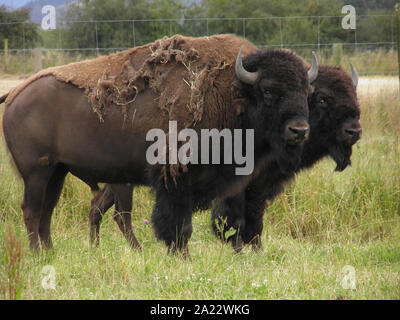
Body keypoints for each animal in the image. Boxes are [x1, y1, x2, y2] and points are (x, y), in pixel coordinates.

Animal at [2, 35, 316, 255]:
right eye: (268, 91)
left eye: (306, 90)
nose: (299, 130)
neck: (233, 92)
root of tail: (16, 92)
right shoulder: (176, 178)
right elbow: (178, 223)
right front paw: (181, 255)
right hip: (37, 173)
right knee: (32, 210)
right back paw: (37, 255)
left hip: (58, 171)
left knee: (48, 210)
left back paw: (50, 253)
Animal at [212, 62, 362, 251]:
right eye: (322, 99)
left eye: (354, 95)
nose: (354, 131)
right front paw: (236, 243)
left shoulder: (264, 184)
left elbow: (255, 212)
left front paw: (256, 247)